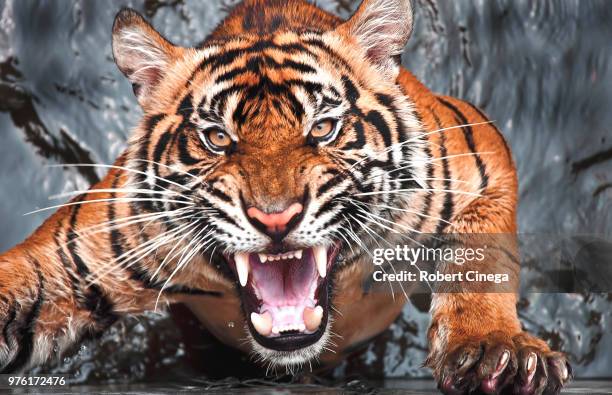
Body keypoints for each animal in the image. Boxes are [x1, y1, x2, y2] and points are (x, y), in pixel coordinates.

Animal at [1, 1, 572, 394]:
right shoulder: (72, 259)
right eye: (218, 138)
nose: (275, 219)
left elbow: (480, 261)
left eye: (322, 128)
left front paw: (495, 350)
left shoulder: (480, 156)